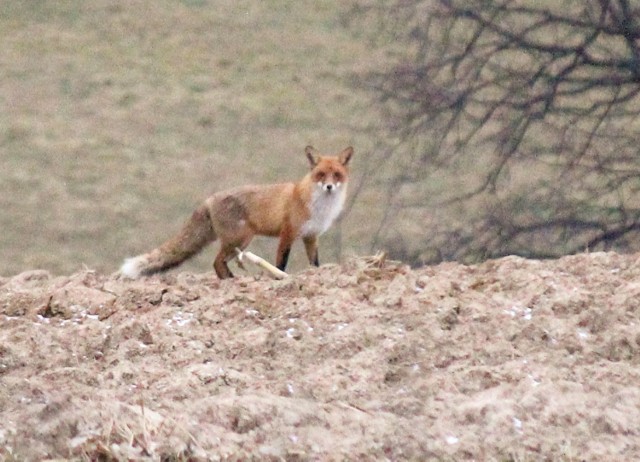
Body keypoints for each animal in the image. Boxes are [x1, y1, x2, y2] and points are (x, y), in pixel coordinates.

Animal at [121, 146, 356, 280]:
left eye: (336, 175)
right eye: (321, 174)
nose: (329, 187)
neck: (318, 206)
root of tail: (209, 199)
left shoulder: (311, 236)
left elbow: (315, 263)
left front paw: (316, 273)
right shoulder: (287, 233)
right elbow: (280, 262)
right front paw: (281, 277)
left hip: (239, 243)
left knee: (219, 263)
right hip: (240, 239)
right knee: (217, 263)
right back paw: (232, 280)